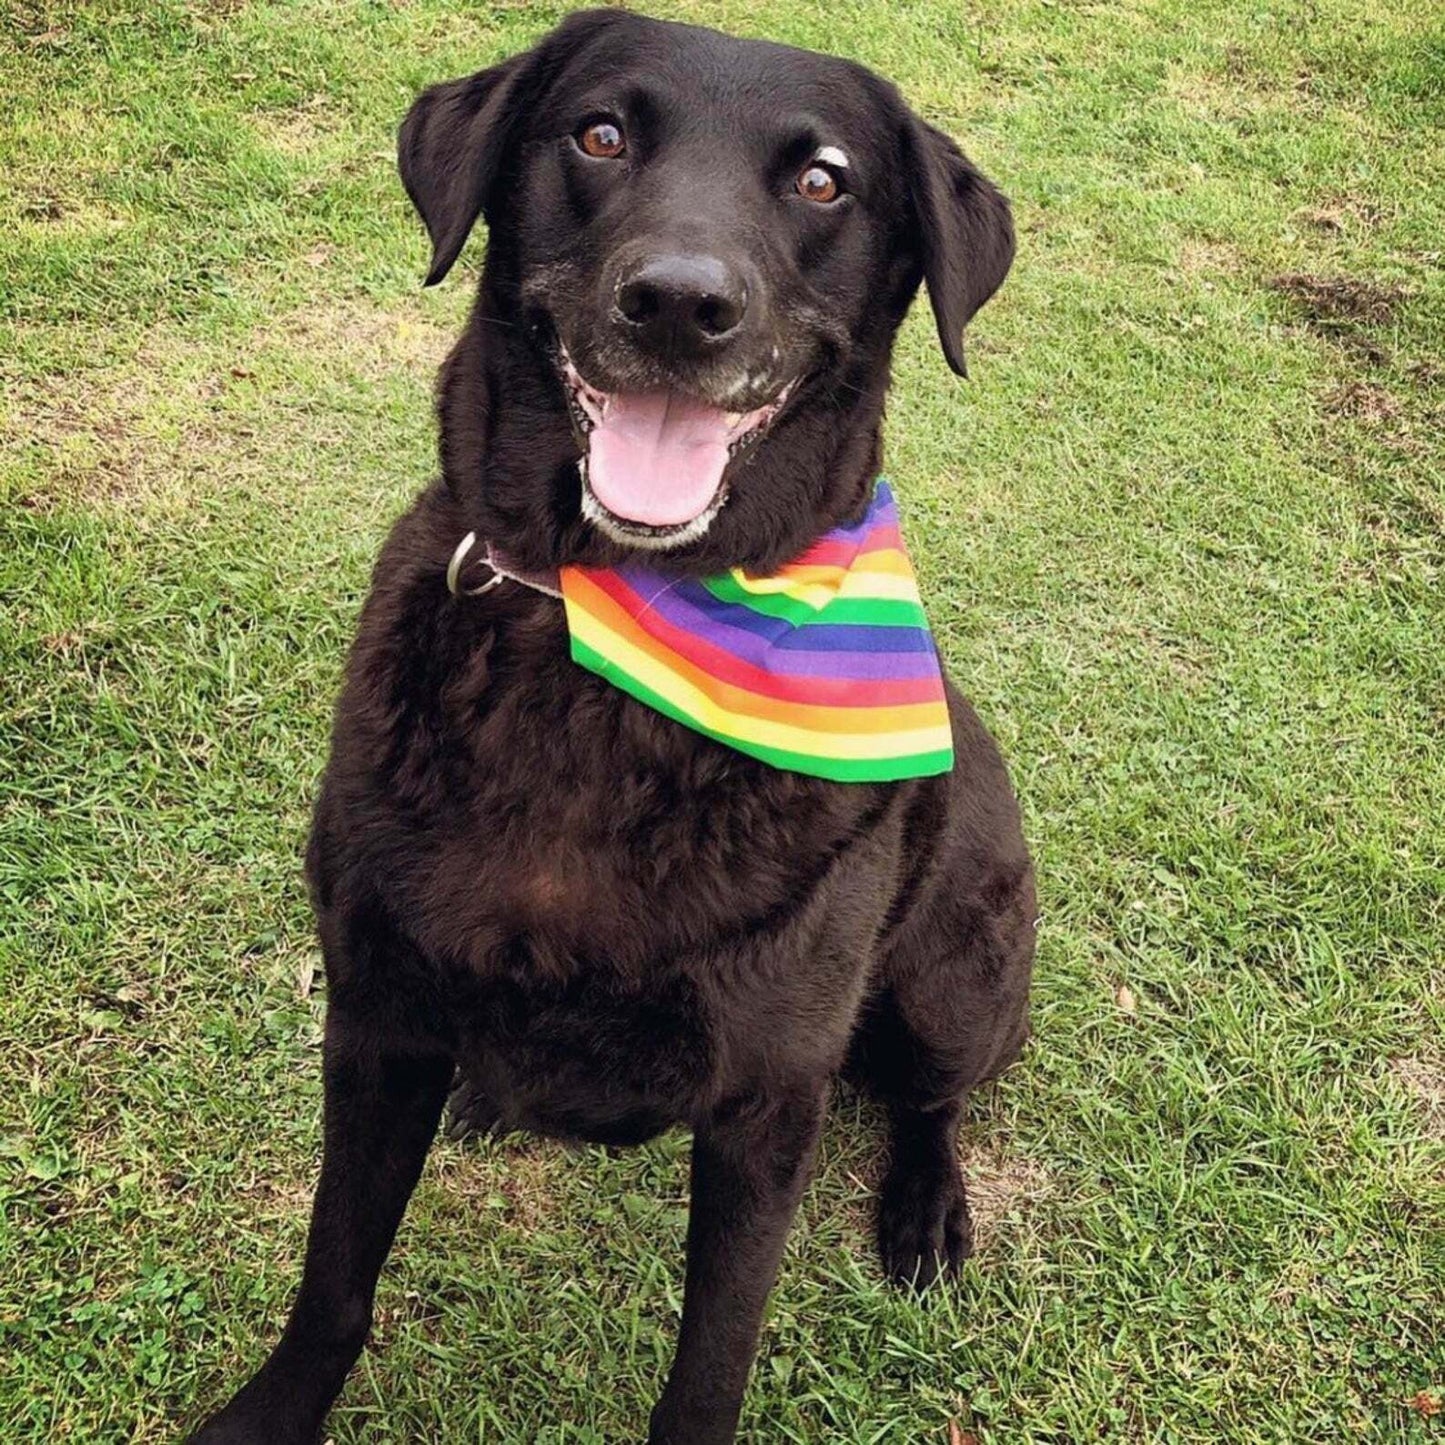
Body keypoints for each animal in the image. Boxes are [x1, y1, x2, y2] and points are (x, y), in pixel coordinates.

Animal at [189, 14, 1028, 1445]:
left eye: (823, 181)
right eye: (598, 135)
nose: (679, 304)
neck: (607, 631)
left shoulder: (763, 1105)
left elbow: (709, 1366)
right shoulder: (375, 1015)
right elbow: (334, 1276)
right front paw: (270, 1412)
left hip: (951, 981)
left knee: (932, 1096)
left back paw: (925, 1209)